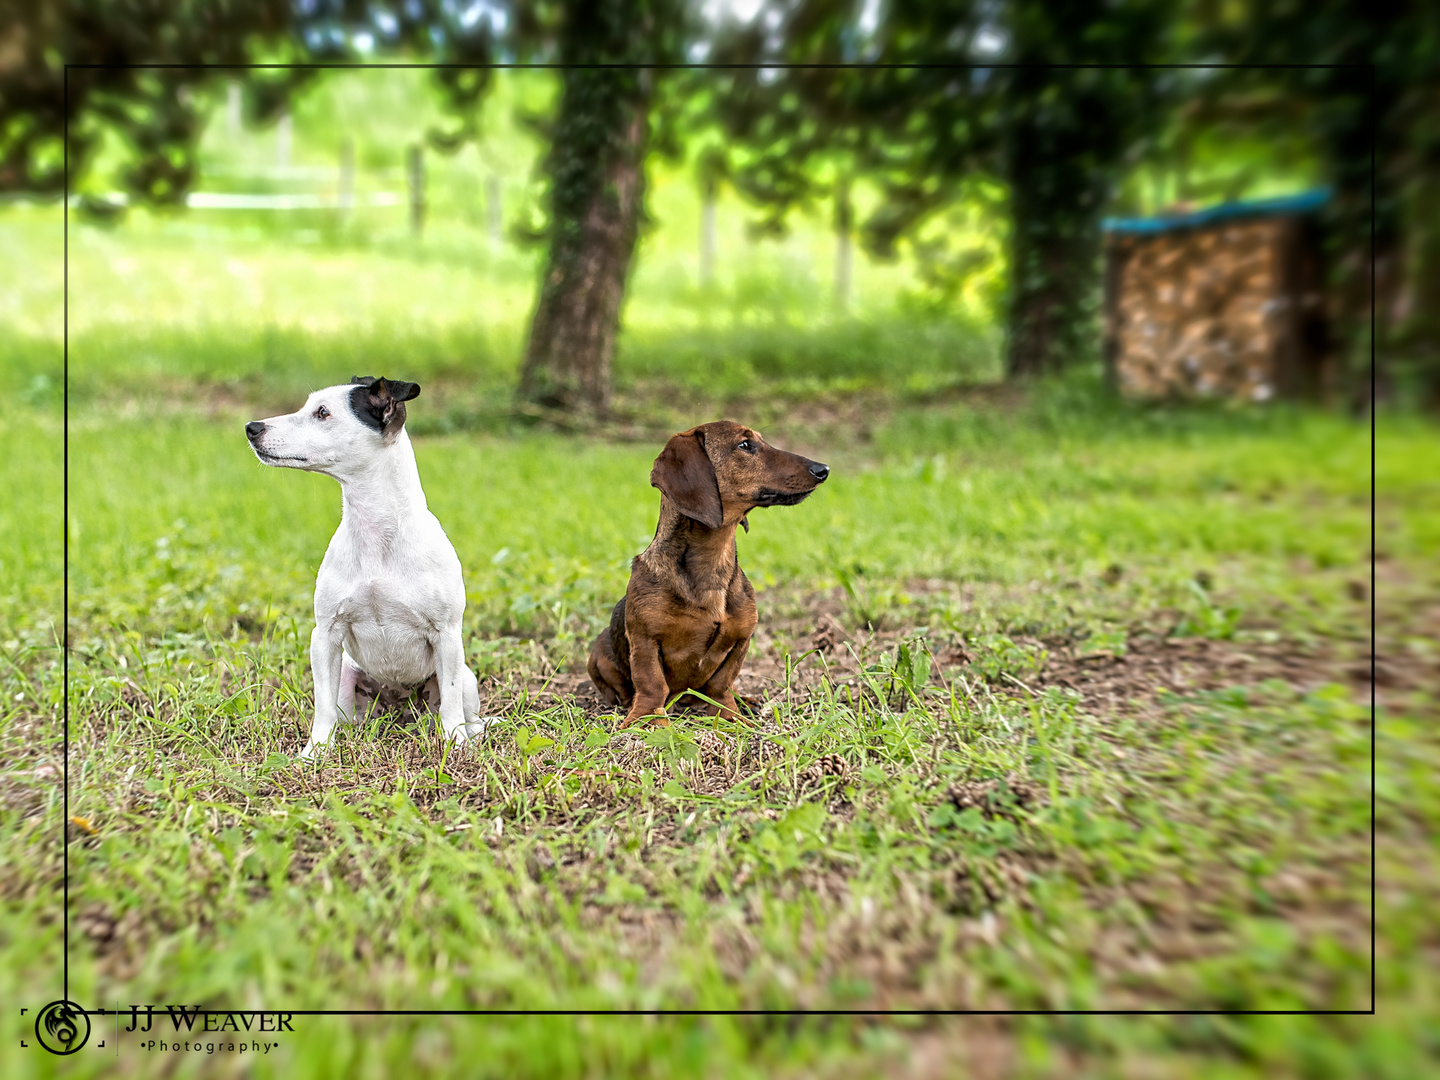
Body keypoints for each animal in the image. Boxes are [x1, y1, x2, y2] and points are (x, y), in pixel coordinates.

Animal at [247, 377, 495, 760]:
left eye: (322, 412)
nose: (252, 427)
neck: (376, 531)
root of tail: (400, 709)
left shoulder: (447, 635)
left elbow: (451, 704)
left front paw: (456, 745)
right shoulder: (326, 636)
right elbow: (322, 706)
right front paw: (315, 751)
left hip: (465, 676)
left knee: (464, 710)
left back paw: (473, 733)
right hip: (349, 680)